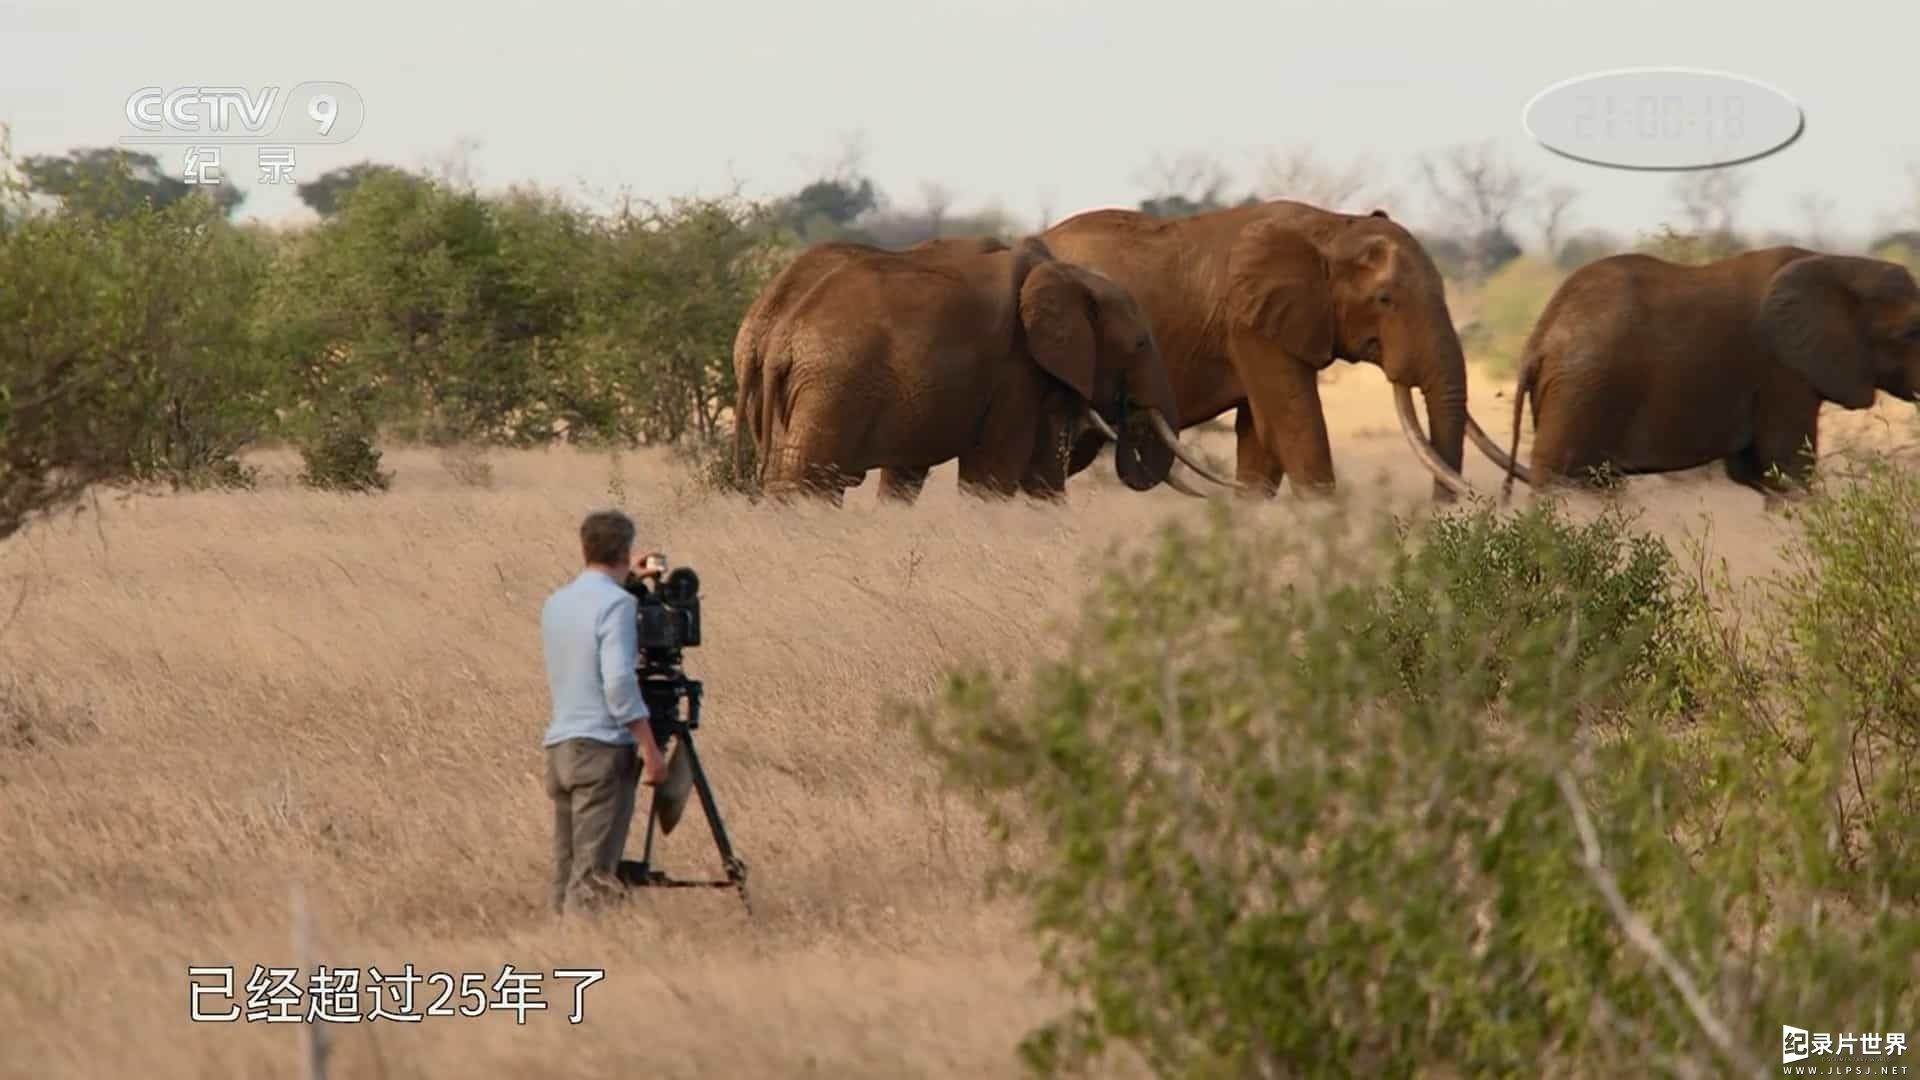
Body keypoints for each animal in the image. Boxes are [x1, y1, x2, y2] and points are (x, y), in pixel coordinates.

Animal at [725, 233, 1236, 503]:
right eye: (1140, 343)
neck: (1067, 274)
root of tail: (777, 332)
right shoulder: (1015, 368)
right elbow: (993, 476)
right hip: (832, 384)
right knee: (807, 481)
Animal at [1497, 245, 1920, 499]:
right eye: (1910, 333)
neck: (1841, 264)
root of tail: (1540, 338)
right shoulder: (1782, 372)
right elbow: (1787, 470)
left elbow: (1760, 475)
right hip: (1582, 392)